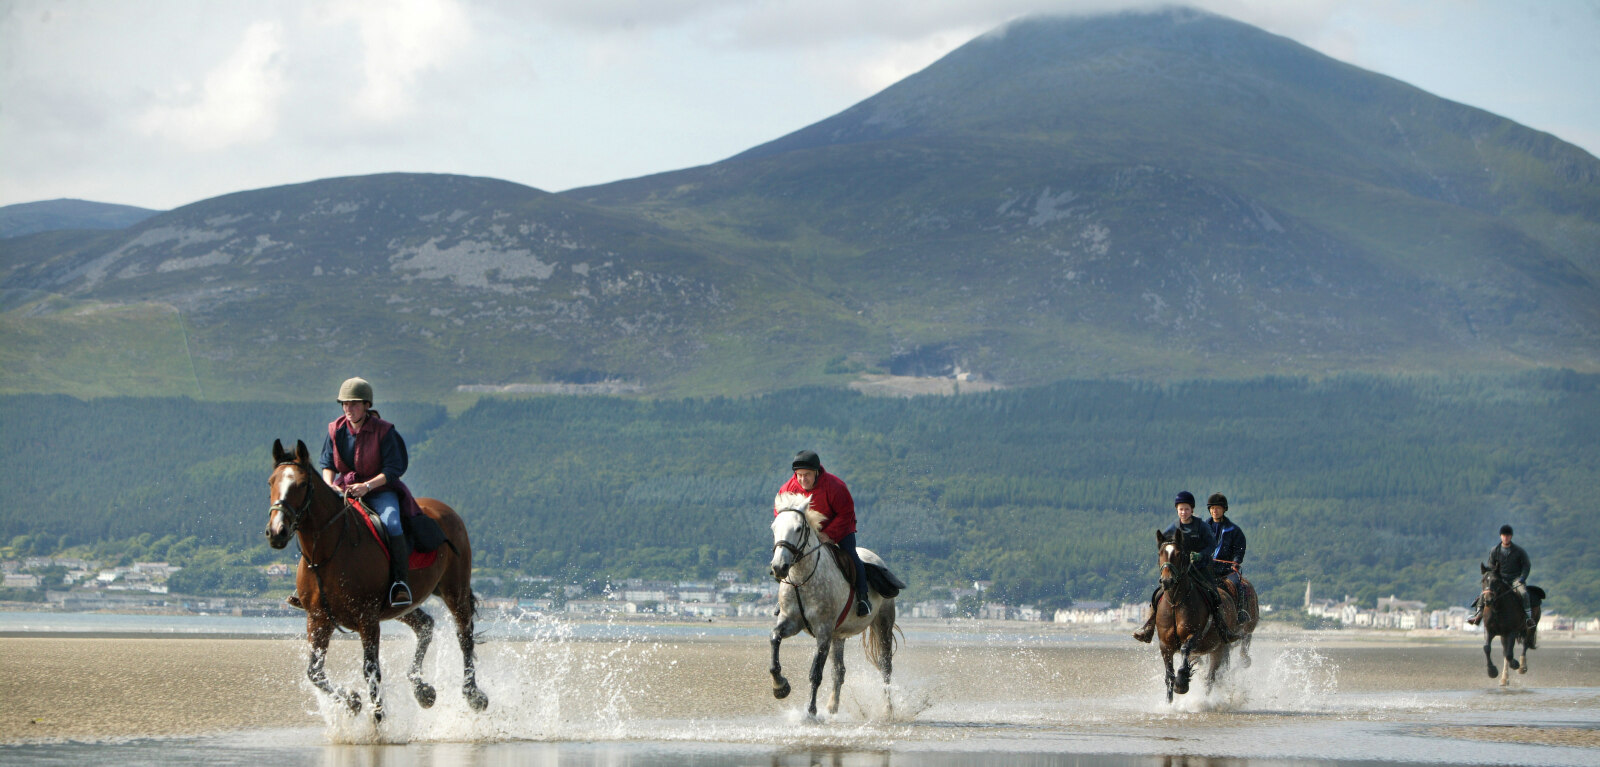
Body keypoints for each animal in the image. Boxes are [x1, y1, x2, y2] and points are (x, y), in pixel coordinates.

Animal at [265, 438, 486, 720]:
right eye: (271, 482)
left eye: (302, 484)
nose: (276, 532)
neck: (328, 552)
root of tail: (447, 511)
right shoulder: (318, 619)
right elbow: (315, 673)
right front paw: (352, 701)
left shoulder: (367, 619)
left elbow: (371, 672)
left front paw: (378, 721)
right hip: (403, 605)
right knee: (425, 625)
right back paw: (422, 689)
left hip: (454, 590)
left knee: (464, 636)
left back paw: (473, 694)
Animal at [771, 496, 902, 717]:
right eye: (774, 527)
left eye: (798, 528)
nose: (779, 567)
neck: (801, 579)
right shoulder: (791, 622)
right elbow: (775, 639)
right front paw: (780, 687)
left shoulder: (823, 631)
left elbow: (815, 673)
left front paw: (811, 712)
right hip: (838, 635)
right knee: (839, 671)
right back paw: (832, 707)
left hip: (882, 623)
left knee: (886, 667)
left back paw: (888, 710)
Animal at [1152, 528, 1260, 701]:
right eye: (1160, 553)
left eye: (1179, 554)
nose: (1167, 580)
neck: (1176, 602)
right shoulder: (1165, 644)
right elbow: (1169, 676)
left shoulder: (1195, 636)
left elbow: (1185, 650)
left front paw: (1182, 683)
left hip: (1227, 643)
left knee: (1214, 676)